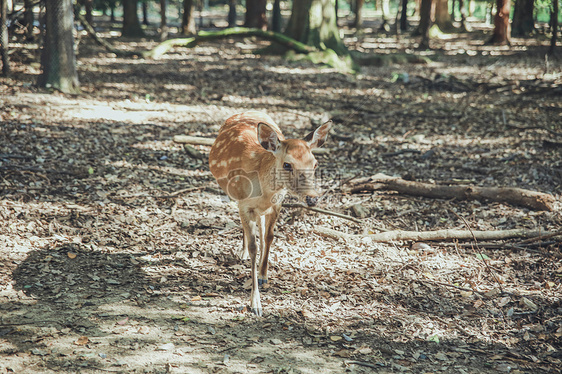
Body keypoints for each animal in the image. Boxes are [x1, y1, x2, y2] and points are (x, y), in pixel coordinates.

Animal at [210, 110, 332, 316]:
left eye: (315, 164)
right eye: (287, 165)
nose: (312, 198)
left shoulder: (277, 203)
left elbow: (269, 237)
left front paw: (263, 275)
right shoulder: (244, 204)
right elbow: (253, 246)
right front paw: (255, 303)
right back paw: (242, 252)